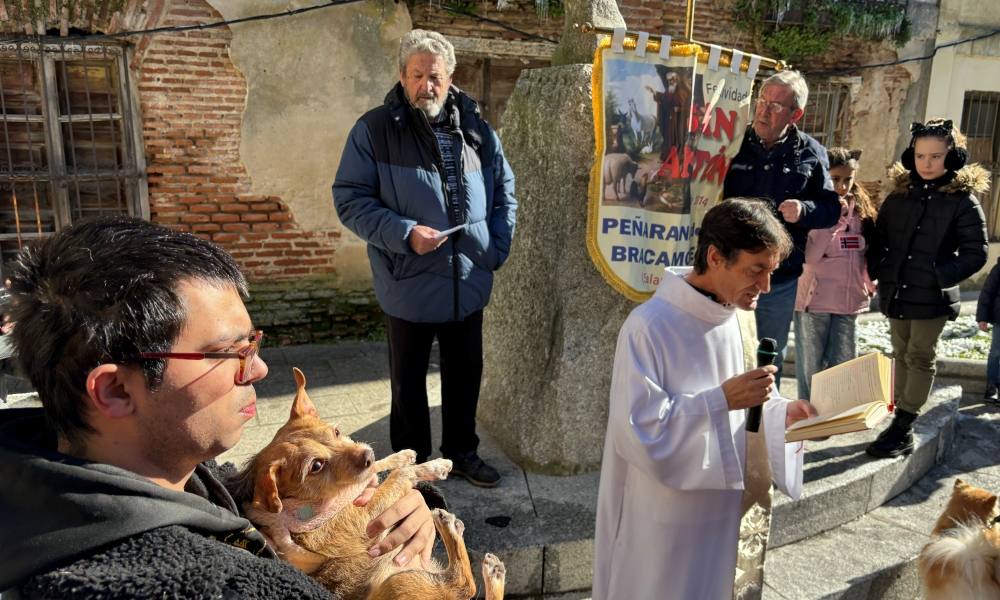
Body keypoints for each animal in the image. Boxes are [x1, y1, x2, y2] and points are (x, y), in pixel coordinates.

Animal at [230, 368, 504, 600]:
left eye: (336, 432)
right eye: (315, 466)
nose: (367, 455)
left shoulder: (363, 479)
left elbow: (381, 470)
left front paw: (409, 457)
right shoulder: (365, 518)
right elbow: (399, 475)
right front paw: (427, 466)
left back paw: (492, 574)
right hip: (398, 584)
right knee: (464, 586)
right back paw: (452, 531)